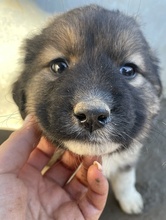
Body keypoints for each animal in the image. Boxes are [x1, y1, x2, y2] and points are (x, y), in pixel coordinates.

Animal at [12, 5, 162, 214]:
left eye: (128, 70)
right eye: (58, 66)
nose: (92, 115)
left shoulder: (128, 156)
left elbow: (125, 177)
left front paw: (130, 200)